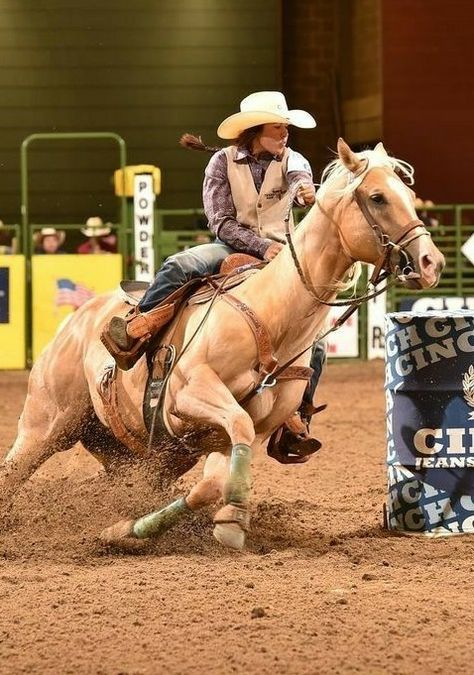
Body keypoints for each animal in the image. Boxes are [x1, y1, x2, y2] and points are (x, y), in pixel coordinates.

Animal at [0, 140, 444, 552]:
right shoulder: (188, 397)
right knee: (12, 474)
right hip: (44, 425)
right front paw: (231, 519)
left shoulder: (229, 433)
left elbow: (213, 483)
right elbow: (231, 439)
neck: (270, 315)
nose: (431, 262)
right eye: (378, 197)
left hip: (145, 455)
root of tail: (78, 319)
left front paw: (136, 529)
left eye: (408, 196)